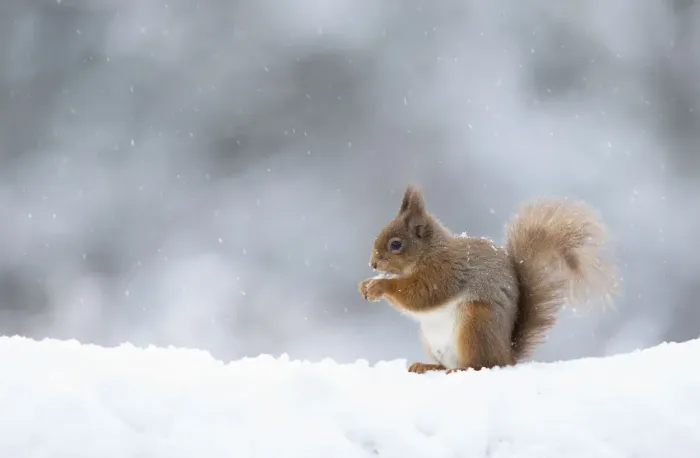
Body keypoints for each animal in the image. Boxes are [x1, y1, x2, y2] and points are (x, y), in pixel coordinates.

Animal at [359, 185, 619, 374]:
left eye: (396, 244)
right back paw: (427, 365)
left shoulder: (446, 272)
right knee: (446, 364)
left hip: (476, 323)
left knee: (482, 363)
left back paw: (461, 369)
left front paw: (379, 285)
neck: (431, 252)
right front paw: (365, 285)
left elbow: (421, 294)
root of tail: (507, 354)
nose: (373, 264)